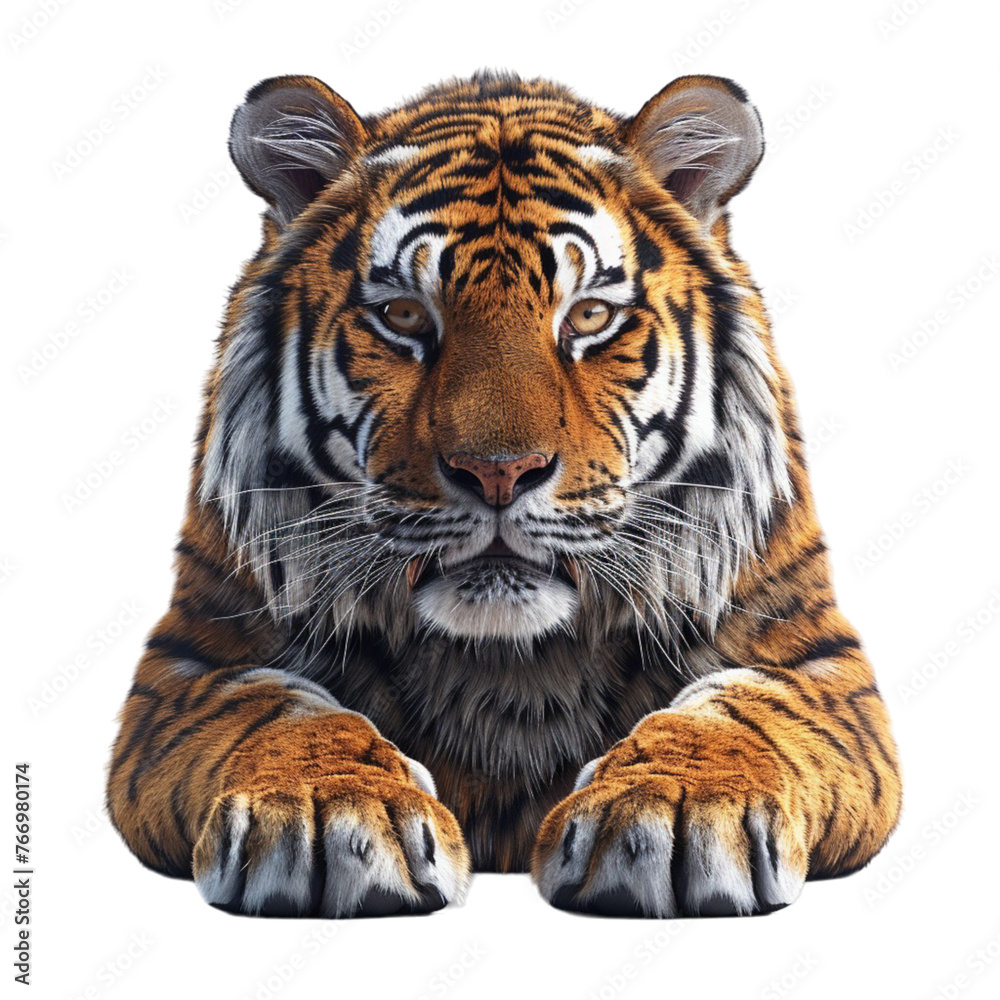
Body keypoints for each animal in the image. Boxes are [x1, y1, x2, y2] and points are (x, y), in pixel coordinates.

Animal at [106, 71, 902, 918]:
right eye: (403, 315)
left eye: (589, 315)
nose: (499, 471)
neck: (506, 666)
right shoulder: (192, 663)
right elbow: (274, 708)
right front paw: (325, 809)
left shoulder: (813, 660)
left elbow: (742, 709)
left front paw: (676, 809)